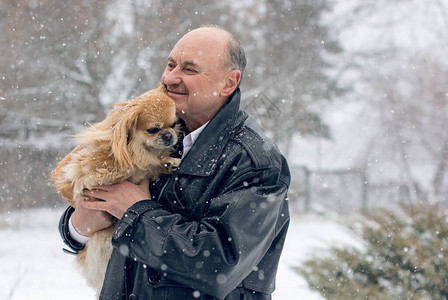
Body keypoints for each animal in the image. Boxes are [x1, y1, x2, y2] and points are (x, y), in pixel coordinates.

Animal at [50, 85, 179, 296]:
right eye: (153, 129)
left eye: (174, 124)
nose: (169, 135)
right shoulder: (81, 169)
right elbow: (107, 167)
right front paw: (123, 165)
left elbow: (151, 164)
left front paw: (169, 162)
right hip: (102, 237)